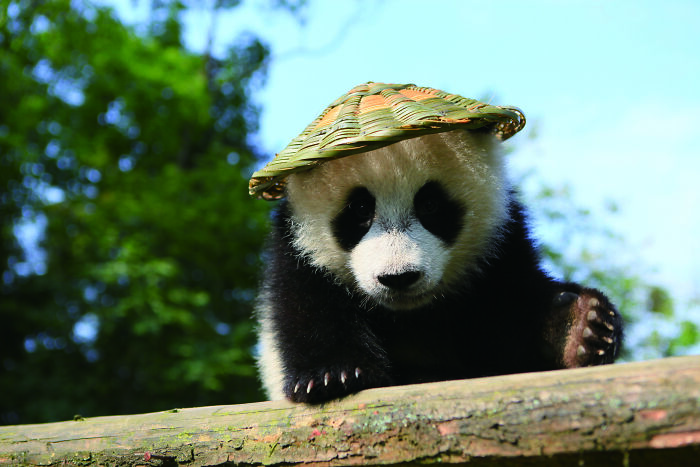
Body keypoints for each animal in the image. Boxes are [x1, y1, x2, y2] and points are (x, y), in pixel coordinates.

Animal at [254, 110, 623, 404]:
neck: (411, 315)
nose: (398, 277)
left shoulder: (500, 245)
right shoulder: (298, 251)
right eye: (359, 209)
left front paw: (578, 328)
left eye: (430, 204)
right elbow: (307, 309)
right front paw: (335, 375)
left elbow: (511, 316)